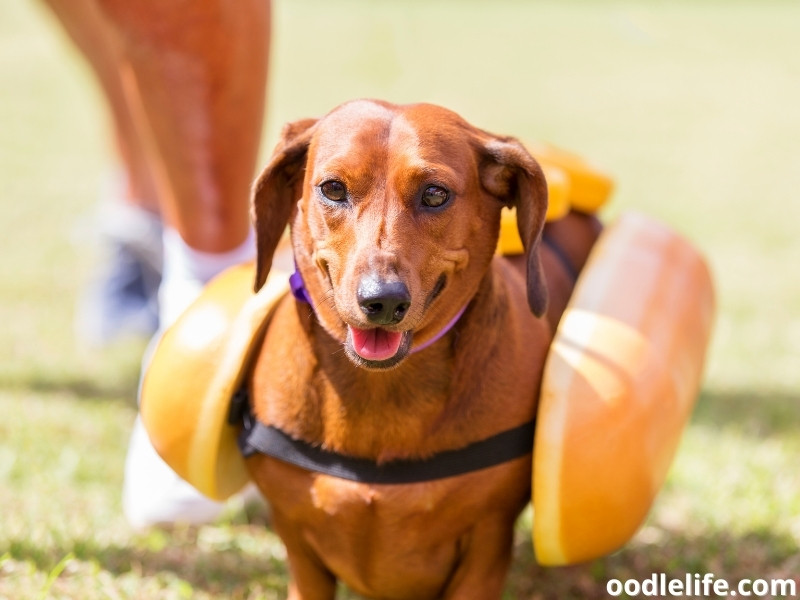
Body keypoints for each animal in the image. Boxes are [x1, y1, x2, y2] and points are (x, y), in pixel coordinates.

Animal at [244, 101, 600, 596]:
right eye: (333, 188)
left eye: (434, 194)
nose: (383, 301)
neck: (380, 393)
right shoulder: (299, 551)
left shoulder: (486, 547)